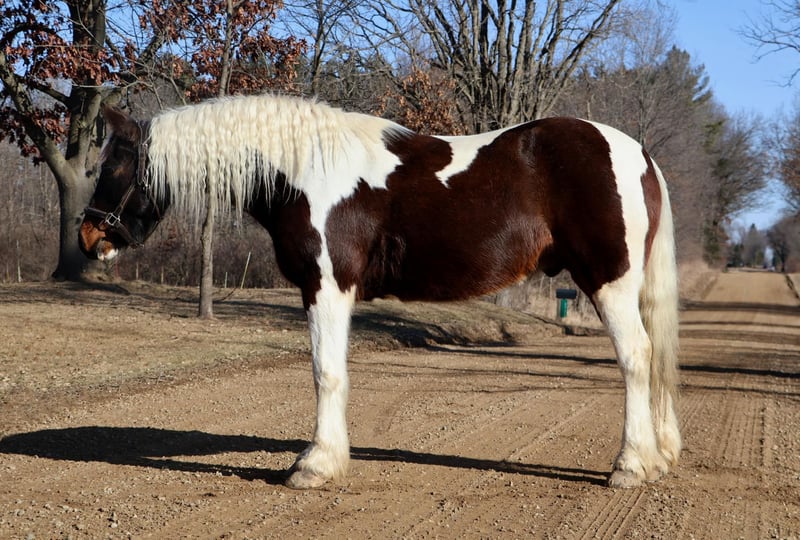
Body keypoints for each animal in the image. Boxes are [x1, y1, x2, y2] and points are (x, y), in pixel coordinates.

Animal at [79, 94, 681, 490]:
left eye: (114, 164)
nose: (88, 236)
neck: (305, 170)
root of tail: (638, 154)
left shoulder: (327, 286)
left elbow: (326, 373)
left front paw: (314, 465)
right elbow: (335, 372)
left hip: (609, 283)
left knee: (637, 357)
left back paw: (630, 466)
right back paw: (657, 455)